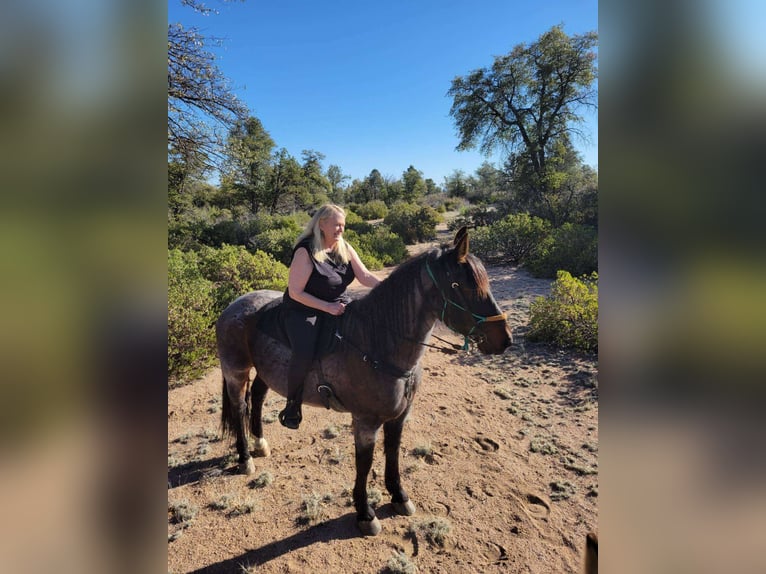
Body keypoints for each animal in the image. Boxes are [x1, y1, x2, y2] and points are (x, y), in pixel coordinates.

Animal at [218, 227, 516, 536]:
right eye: (460, 285)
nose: (504, 339)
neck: (376, 343)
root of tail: (234, 305)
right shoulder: (365, 421)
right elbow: (365, 463)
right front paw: (365, 513)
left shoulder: (398, 417)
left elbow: (393, 453)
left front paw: (399, 496)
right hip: (236, 372)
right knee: (240, 408)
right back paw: (245, 458)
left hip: (264, 371)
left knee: (258, 398)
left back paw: (260, 444)